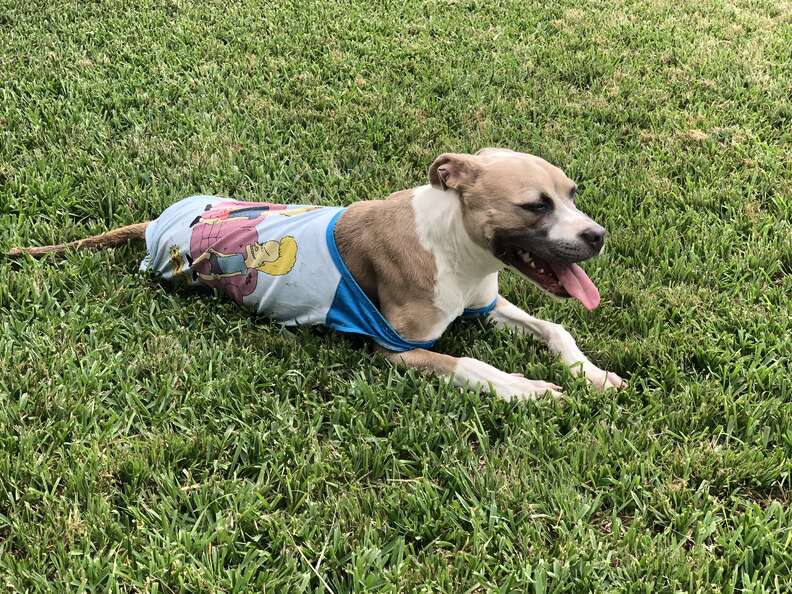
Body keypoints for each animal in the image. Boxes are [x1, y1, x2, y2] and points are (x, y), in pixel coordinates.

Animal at [6, 147, 624, 398]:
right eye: (535, 205)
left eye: (572, 194)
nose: (596, 236)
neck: (457, 247)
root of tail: (158, 222)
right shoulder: (398, 349)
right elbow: (472, 366)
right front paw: (528, 389)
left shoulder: (485, 304)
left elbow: (556, 328)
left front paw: (589, 373)